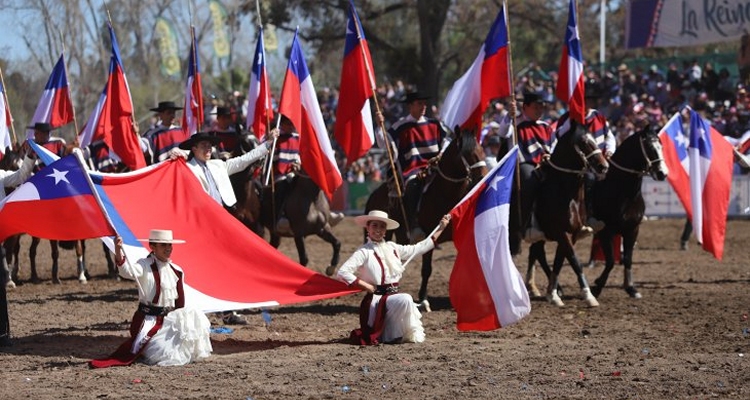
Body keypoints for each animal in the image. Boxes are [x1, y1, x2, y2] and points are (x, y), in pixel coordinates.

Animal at [362, 127, 488, 310]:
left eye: (482, 151)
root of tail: (375, 194)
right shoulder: (428, 236)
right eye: (469, 153)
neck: (445, 195)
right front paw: (423, 299)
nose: (483, 177)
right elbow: (426, 269)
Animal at [520, 120, 612, 308]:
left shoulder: (569, 233)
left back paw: (535, 287)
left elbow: (559, 261)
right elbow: (575, 261)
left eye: (595, 138)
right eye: (583, 142)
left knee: (537, 252)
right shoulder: (561, 233)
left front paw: (553, 294)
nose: (604, 166)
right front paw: (589, 295)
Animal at [592, 126, 672, 298]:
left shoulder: (632, 230)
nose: (663, 173)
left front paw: (631, 288)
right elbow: (610, 261)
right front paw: (597, 286)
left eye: (661, 147)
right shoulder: (605, 231)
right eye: (649, 147)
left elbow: (628, 259)